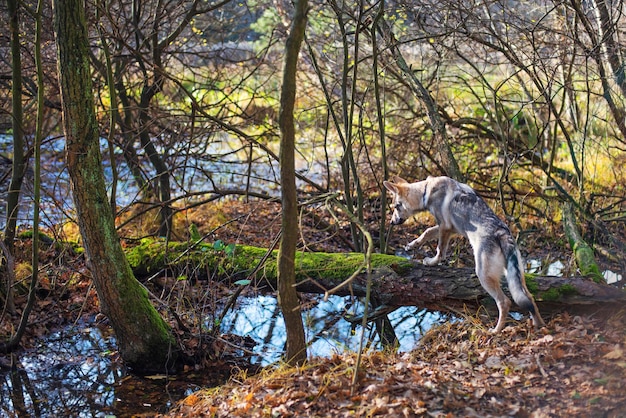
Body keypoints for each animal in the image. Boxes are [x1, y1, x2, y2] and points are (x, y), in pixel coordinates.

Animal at [380, 176, 540, 334]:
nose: (391, 222)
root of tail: (501, 232)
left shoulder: (444, 227)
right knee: (530, 300)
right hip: (515, 278)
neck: (426, 191)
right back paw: (538, 326)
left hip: (483, 275)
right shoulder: (450, 229)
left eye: (396, 206)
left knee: (504, 302)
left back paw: (495, 331)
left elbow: (439, 250)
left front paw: (432, 261)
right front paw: (412, 245)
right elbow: (427, 232)